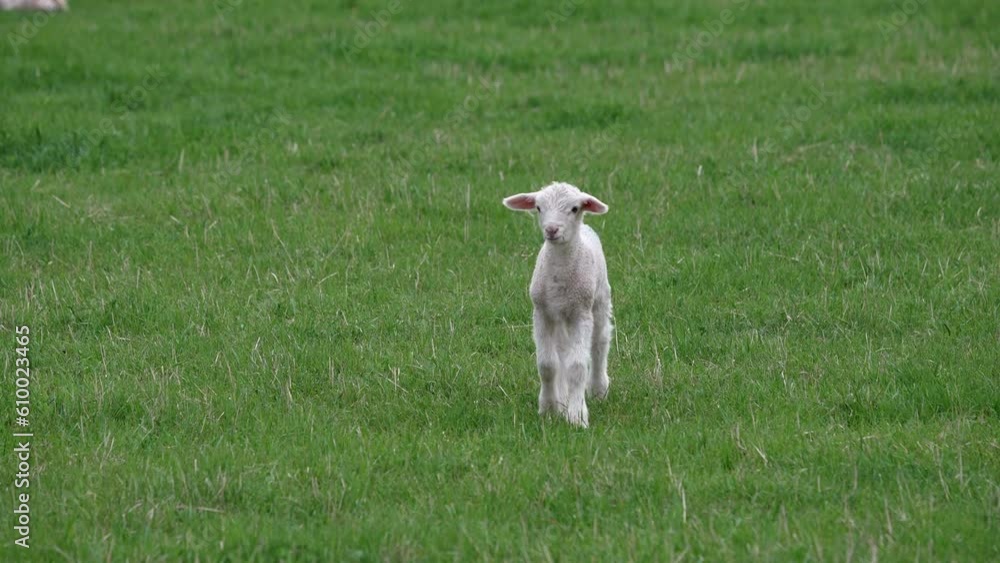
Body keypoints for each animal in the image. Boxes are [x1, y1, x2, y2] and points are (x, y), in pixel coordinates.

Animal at [503, 182, 613, 428]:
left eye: (574, 209)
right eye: (538, 207)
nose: (552, 230)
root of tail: (586, 228)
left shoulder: (581, 314)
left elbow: (577, 366)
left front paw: (577, 415)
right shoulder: (541, 313)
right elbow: (547, 364)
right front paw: (549, 407)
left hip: (599, 300)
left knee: (599, 342)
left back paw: (598, 388)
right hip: (561, 317)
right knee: (562, 352)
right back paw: (563, 397)